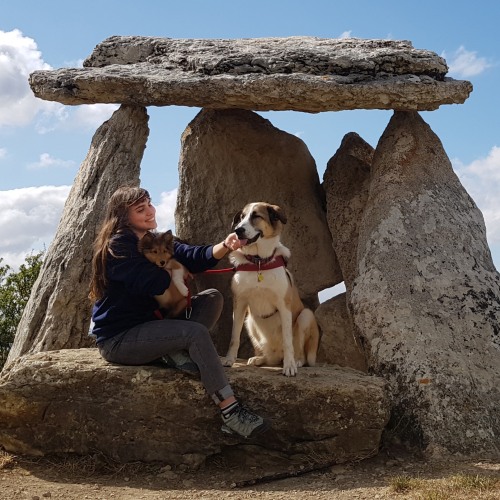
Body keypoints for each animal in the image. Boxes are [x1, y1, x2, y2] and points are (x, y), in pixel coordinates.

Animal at [223, 201, 320, 376]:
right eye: (241, 217)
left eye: (256, 216)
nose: (237, 230)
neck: (259, 263)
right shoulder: (239, 304)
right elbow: (234, 336)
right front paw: (229, 360)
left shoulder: (284, 306)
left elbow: (288, 341)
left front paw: (289, 366)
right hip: (249, 321)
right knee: (270, 357)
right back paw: (260, 359)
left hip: (305, 316)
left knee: (299, 351)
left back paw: (296, 361)